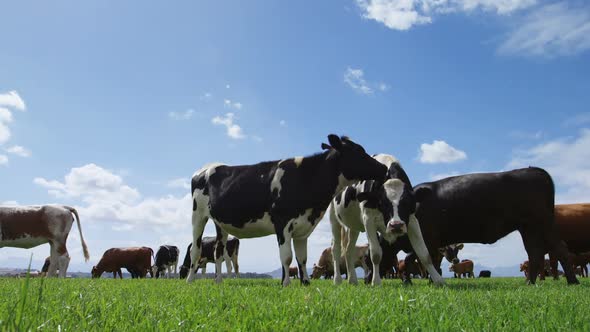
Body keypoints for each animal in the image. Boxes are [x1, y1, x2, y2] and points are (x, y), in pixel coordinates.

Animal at [186, 135, 388, 286]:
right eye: (357, 151)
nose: (384, 168)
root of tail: (207, 167)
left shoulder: (303, 227)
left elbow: (302, 258)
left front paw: (305, 282)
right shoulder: (282, 222)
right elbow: (287, 257)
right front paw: (285, 284)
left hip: (220, 224)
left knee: (218, 252)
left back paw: (218, 281)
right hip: (198, 215)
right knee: (196, 249)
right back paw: (189, 280)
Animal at [328, 154, 444, 286]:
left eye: (408, 203)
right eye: (383, 203)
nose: (396, 225)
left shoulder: (412, 220)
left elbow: (424, 253)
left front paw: (439, 280)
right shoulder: (368, 219)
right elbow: (376, 254)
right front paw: (376, 282)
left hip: (354, 225)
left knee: (349, 250)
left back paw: (352, 280)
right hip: (334, 219)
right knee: (336, 249)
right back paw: (337, 280)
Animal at [410, 169, 580, 286]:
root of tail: (535, 170)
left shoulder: (429, 238)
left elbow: (431, 260)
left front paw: (432, 281)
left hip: (543, 223)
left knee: (559, 248)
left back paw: (573, 281)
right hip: (529, 228)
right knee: (534, 252)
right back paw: (529, 283)